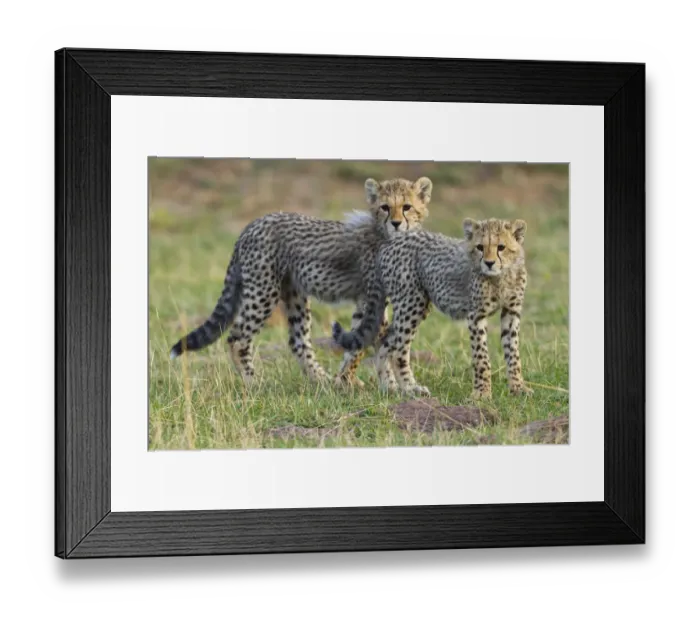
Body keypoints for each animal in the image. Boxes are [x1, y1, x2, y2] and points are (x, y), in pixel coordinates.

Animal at [169, 177, 433, 386]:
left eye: (407, 207)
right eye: (385, 207)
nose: (396, 223)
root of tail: (252, 224)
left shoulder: (367, 301)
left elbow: (366, 341)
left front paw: (351, 381)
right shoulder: (372, 299)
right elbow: (372, 341)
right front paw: (374, 383)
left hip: (295, 295)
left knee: (298, 341)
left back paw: (321, 380)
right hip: (263, 292)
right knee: (238, 338)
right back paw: (254, 383)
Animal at [332, 217, 532, 399]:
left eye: (501, 247)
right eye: (480, 247)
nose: (489, 263)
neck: (502, 276)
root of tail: (391, 240)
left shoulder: (511, 312)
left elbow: (513, 352)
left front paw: (518, 388)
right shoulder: (476, 315)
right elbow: (481, 356)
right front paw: (482, 393)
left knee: (384, 343)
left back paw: (389, 387)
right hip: (412, 302)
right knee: (397, 350)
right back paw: (410, 389)